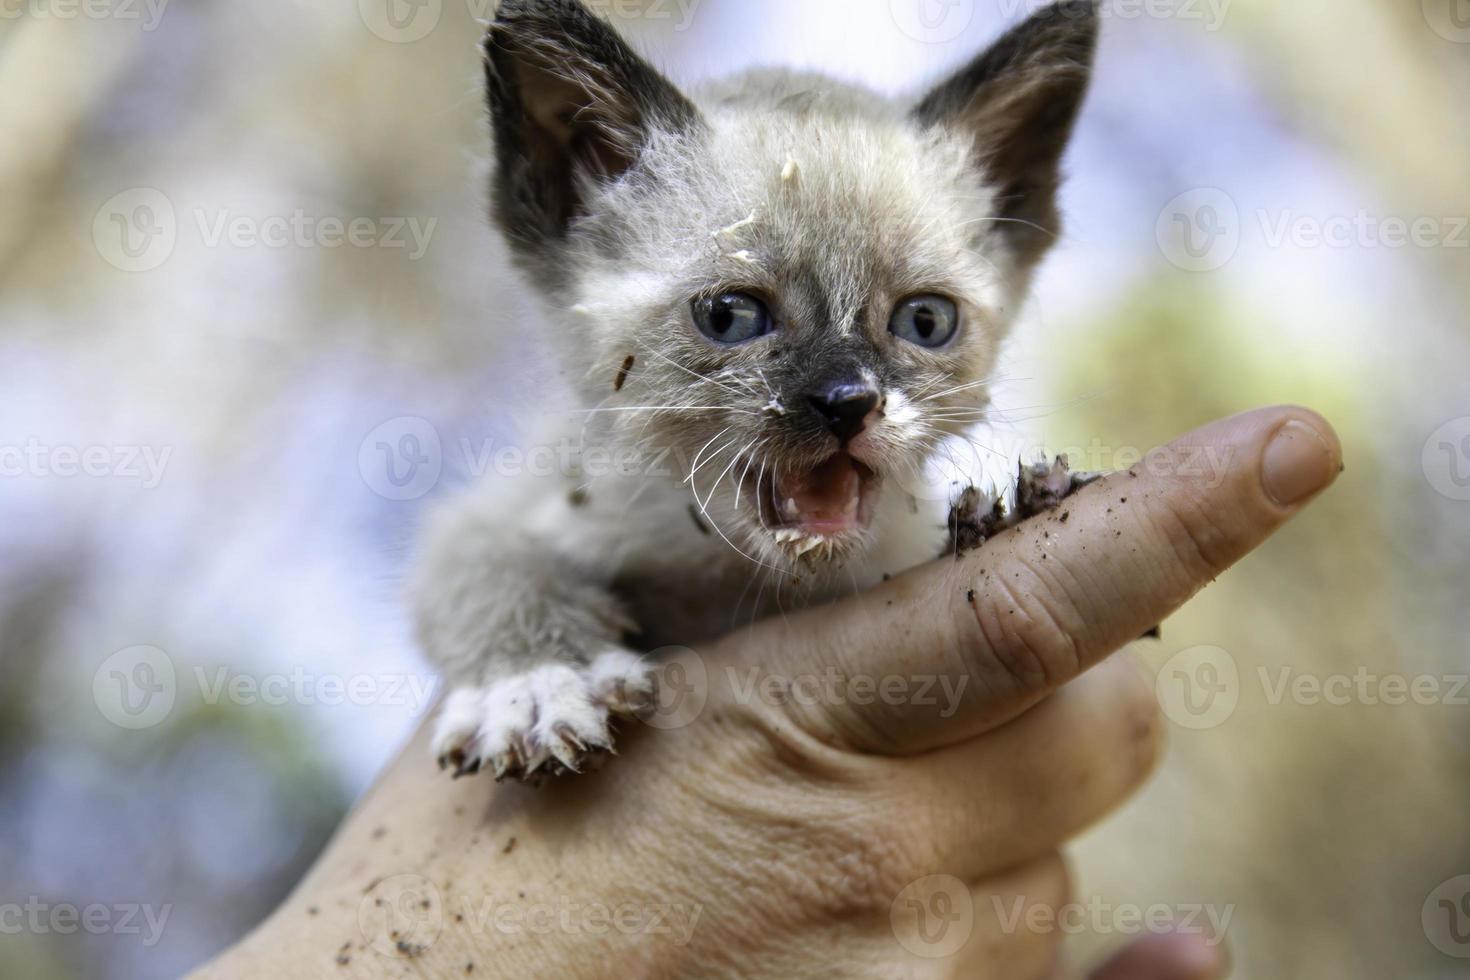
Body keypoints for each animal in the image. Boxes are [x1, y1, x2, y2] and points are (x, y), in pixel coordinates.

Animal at [408, 0, 1099, 781]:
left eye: (925, 321)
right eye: (730, 316)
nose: (847, 401)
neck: (735, 579)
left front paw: (1013, 513)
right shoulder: (499, 507)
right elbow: (487, 567)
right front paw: (533, 685)